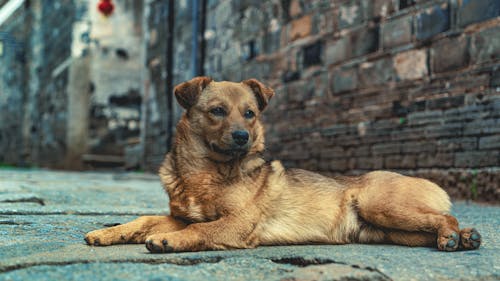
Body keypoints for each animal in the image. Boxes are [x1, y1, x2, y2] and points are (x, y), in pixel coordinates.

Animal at [85, 76, 480, 252]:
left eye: (250, 113)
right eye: (217, 111)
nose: (242, 137)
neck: (205, 172)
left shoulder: (237, 223)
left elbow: (199, 229)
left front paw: (169, 240)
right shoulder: (180, 214)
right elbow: (144, 220)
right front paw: (109, 233)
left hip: (380, 206)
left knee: (445, 217)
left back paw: (454, 236)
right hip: (389, 230)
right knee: (437, 223)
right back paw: (465, 238)